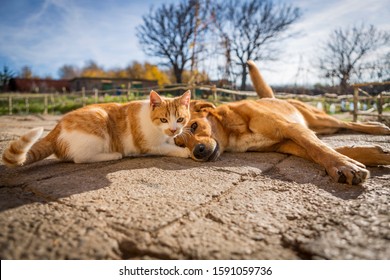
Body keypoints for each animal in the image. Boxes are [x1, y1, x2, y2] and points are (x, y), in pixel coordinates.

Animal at [2, 90, 192, 166]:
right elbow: (167, 148)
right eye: (163, 119)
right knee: (80, 158)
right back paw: (113, 155)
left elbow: (171, 143)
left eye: (180, 119)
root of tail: (58, 125)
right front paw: (184, 151)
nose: (173, 130)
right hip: (99, 120)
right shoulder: (149, 146)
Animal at [177, 60, 390, 185]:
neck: (232, 131)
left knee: (347, 124)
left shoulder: (292, 128)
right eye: (180, 144)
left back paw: (378, 127)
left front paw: (343, 165)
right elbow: (318, 151)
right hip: (320, 126)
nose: (197, 152)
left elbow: (320, 149)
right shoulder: (286, 144)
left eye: (194, 126)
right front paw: (372, 155)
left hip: (319, 118)